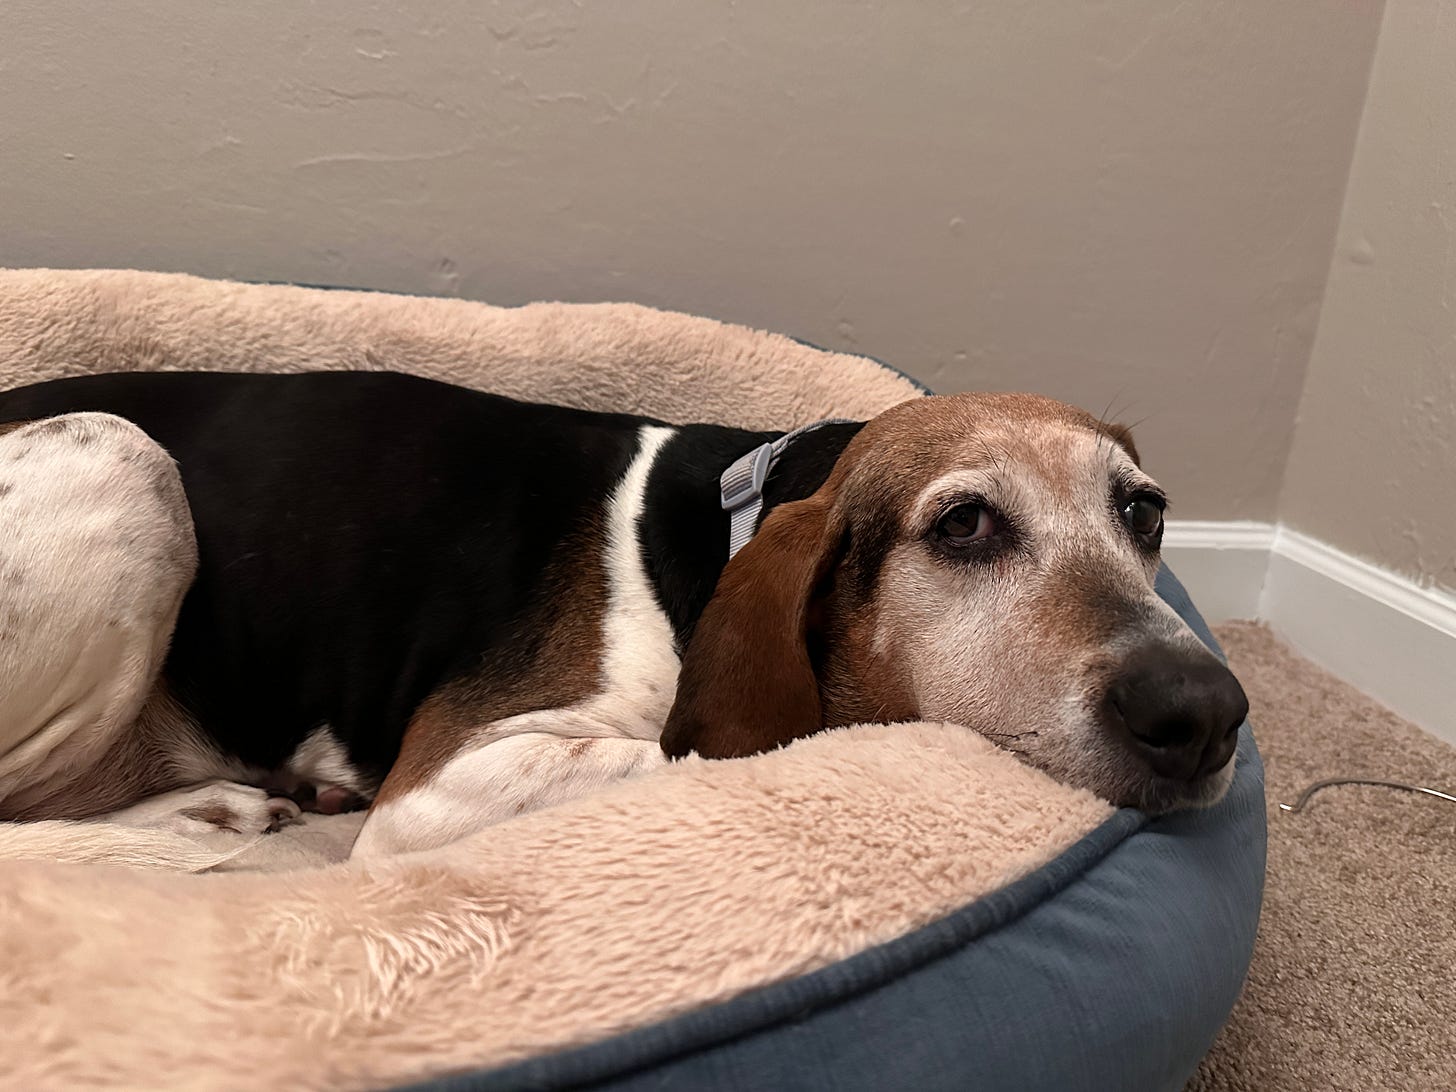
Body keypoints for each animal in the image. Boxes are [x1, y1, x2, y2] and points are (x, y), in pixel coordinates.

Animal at [0, 369, 1247, 861]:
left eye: (1143, 513)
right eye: (964, 525)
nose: (1202, 711)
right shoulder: (436, 791)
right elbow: (722, 747)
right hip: (115, 456)